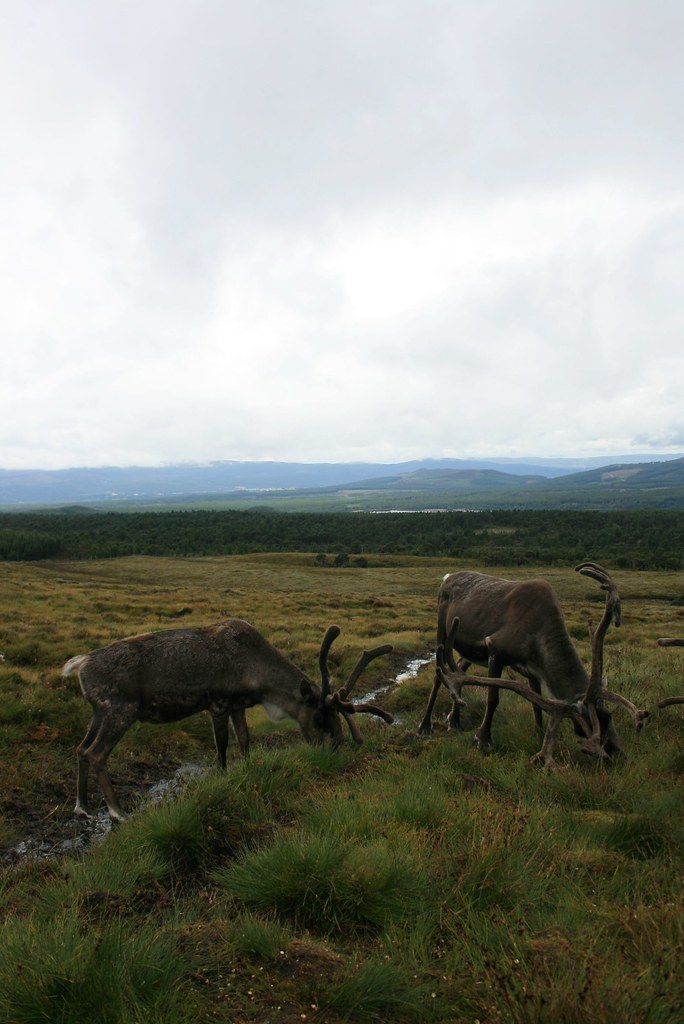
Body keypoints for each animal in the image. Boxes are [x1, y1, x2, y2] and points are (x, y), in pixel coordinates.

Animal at [63, 619, 393, 821]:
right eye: (319, 715)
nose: (333, 750)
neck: (257, 673)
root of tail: (79, 665)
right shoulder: (219, 704)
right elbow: (221, 748)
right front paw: (223, 779)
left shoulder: (238, 707)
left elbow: (244, 740)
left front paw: (247, 770)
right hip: (121, 710)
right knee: (96, 753)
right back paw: (117, 812)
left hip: (99, 712)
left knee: (80, 749)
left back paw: (82, 807)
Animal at [418, 562, 648, 765]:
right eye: (586, 727)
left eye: (608, 717)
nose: (619, 756)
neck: (540, 630)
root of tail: (448, 576)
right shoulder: (495, 649)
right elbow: (493, 699)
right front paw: (483, 739)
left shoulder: (534, 670)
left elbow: (536, 704)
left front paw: (538, 733)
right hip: (443, 631)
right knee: (439, 675)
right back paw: (425, 725)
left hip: (468, 650)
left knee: (457, 668)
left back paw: (454, 720)